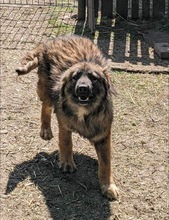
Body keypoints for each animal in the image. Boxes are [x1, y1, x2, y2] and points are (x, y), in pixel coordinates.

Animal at [16, 34, 119, 201]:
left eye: (94, 78)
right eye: (75, 77)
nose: (83, 88)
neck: (84, 113)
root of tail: (52, 40)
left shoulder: (103, 135)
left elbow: (106, 164)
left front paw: (108, 186)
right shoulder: (64, 124)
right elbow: (66, 143)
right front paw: (67, 162)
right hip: (46, 90)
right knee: (45, 107)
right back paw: (45, 130)